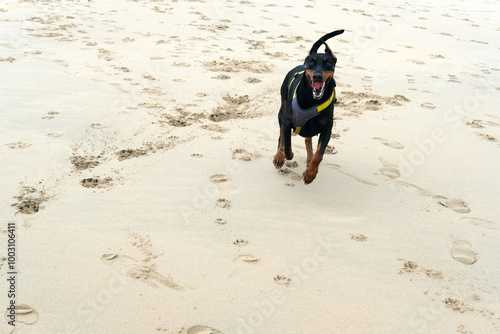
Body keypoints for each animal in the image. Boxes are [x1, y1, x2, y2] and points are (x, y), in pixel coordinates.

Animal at [274, 29, 344, 184]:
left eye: (328, 64)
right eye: (312, 63)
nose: (317, 76)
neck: (312, 100)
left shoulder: (326, 129)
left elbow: (319, 154)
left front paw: (310, 173)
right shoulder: (287, 122)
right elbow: (287, 145)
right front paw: (285, 155)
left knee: (308, 139)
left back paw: (309, 158)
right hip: (282, 109)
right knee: (281, 137)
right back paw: (279, 157)